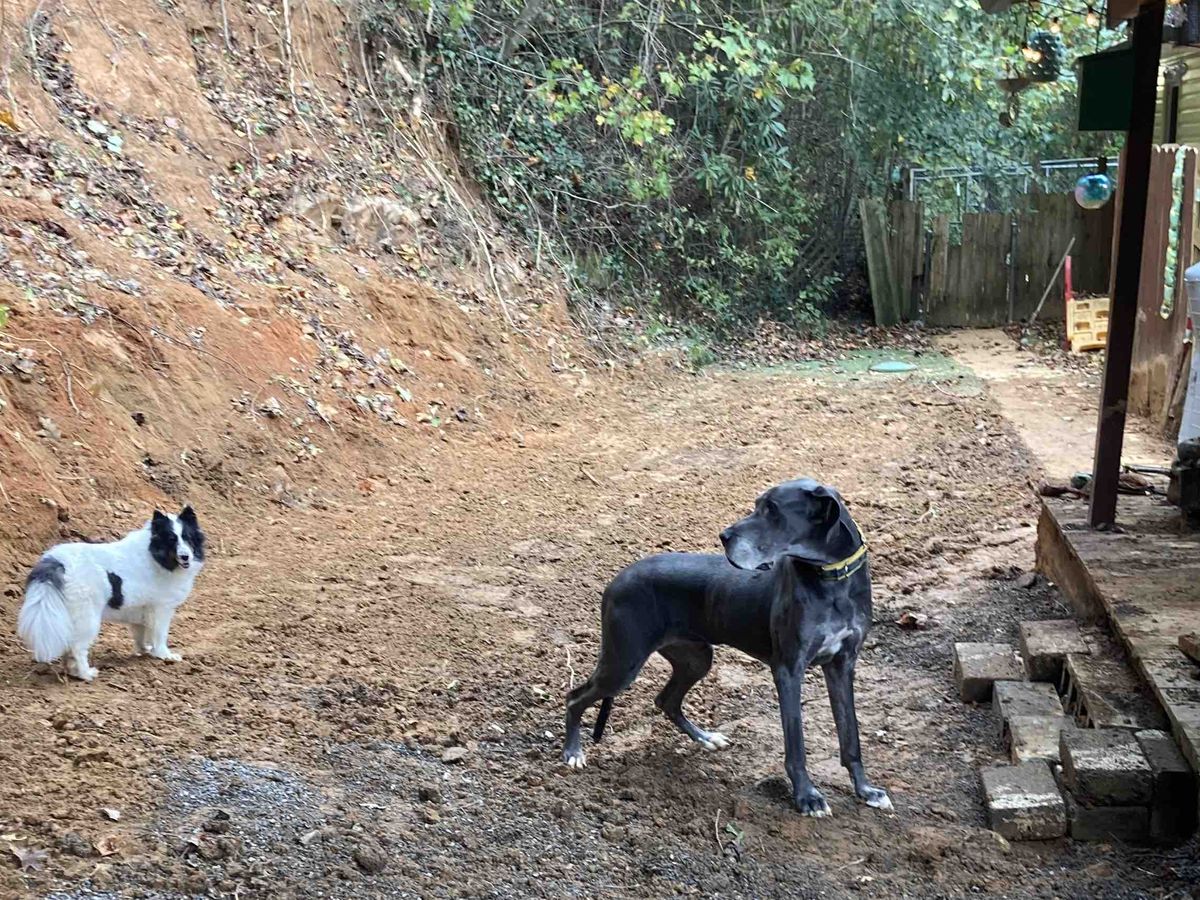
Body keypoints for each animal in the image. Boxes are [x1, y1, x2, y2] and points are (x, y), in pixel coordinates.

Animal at [17, 507, 206, 682]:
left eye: (188, 538)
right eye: (171, 540)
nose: (185, 557)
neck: (154, 556)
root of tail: (56, 561)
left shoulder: (142, 611)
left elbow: (141, 635)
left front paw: (145, 650)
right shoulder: (161, 609)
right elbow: (160, 635)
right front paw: (164, 655)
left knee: (70, 647)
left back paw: (72, 671)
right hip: (88, 618)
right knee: (78, 648)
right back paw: (86, 674)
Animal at [561, 478, 890, 817]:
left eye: (772, 509)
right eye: (758, 504)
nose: (724, 536)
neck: (832, 579)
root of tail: (617, 579)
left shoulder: (842, 664)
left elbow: (850, 736)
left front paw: (866, 790)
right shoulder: (789, 669)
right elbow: (796, 744)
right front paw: (807, 797)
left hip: (696, 658)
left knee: (666, 700)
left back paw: (706, 738)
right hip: (624, 661)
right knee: (574, 697)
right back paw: (573, 752)